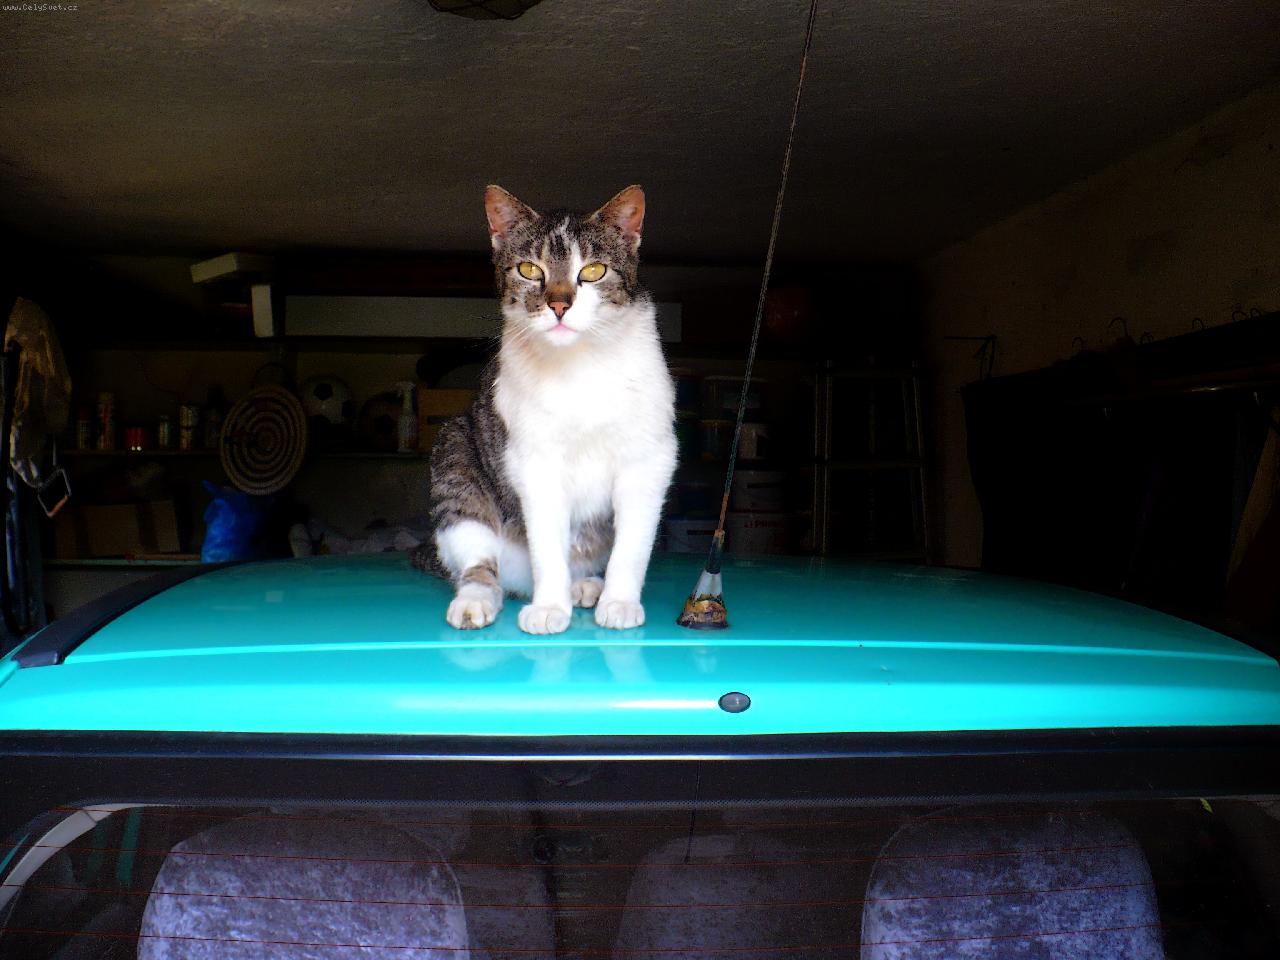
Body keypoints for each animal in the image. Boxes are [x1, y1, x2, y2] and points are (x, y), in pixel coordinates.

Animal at [411, 184, 676, 635]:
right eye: (529, 270)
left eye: (593, 271)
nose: (559, 305)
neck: (580, 365)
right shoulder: (534, 463)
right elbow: (547, 545)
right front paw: (550, 606)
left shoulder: (649, 459)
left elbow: (632, 547)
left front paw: (619, 601)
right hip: (455, 452)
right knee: (478, 563)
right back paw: (478, 598)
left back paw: (587, 586)